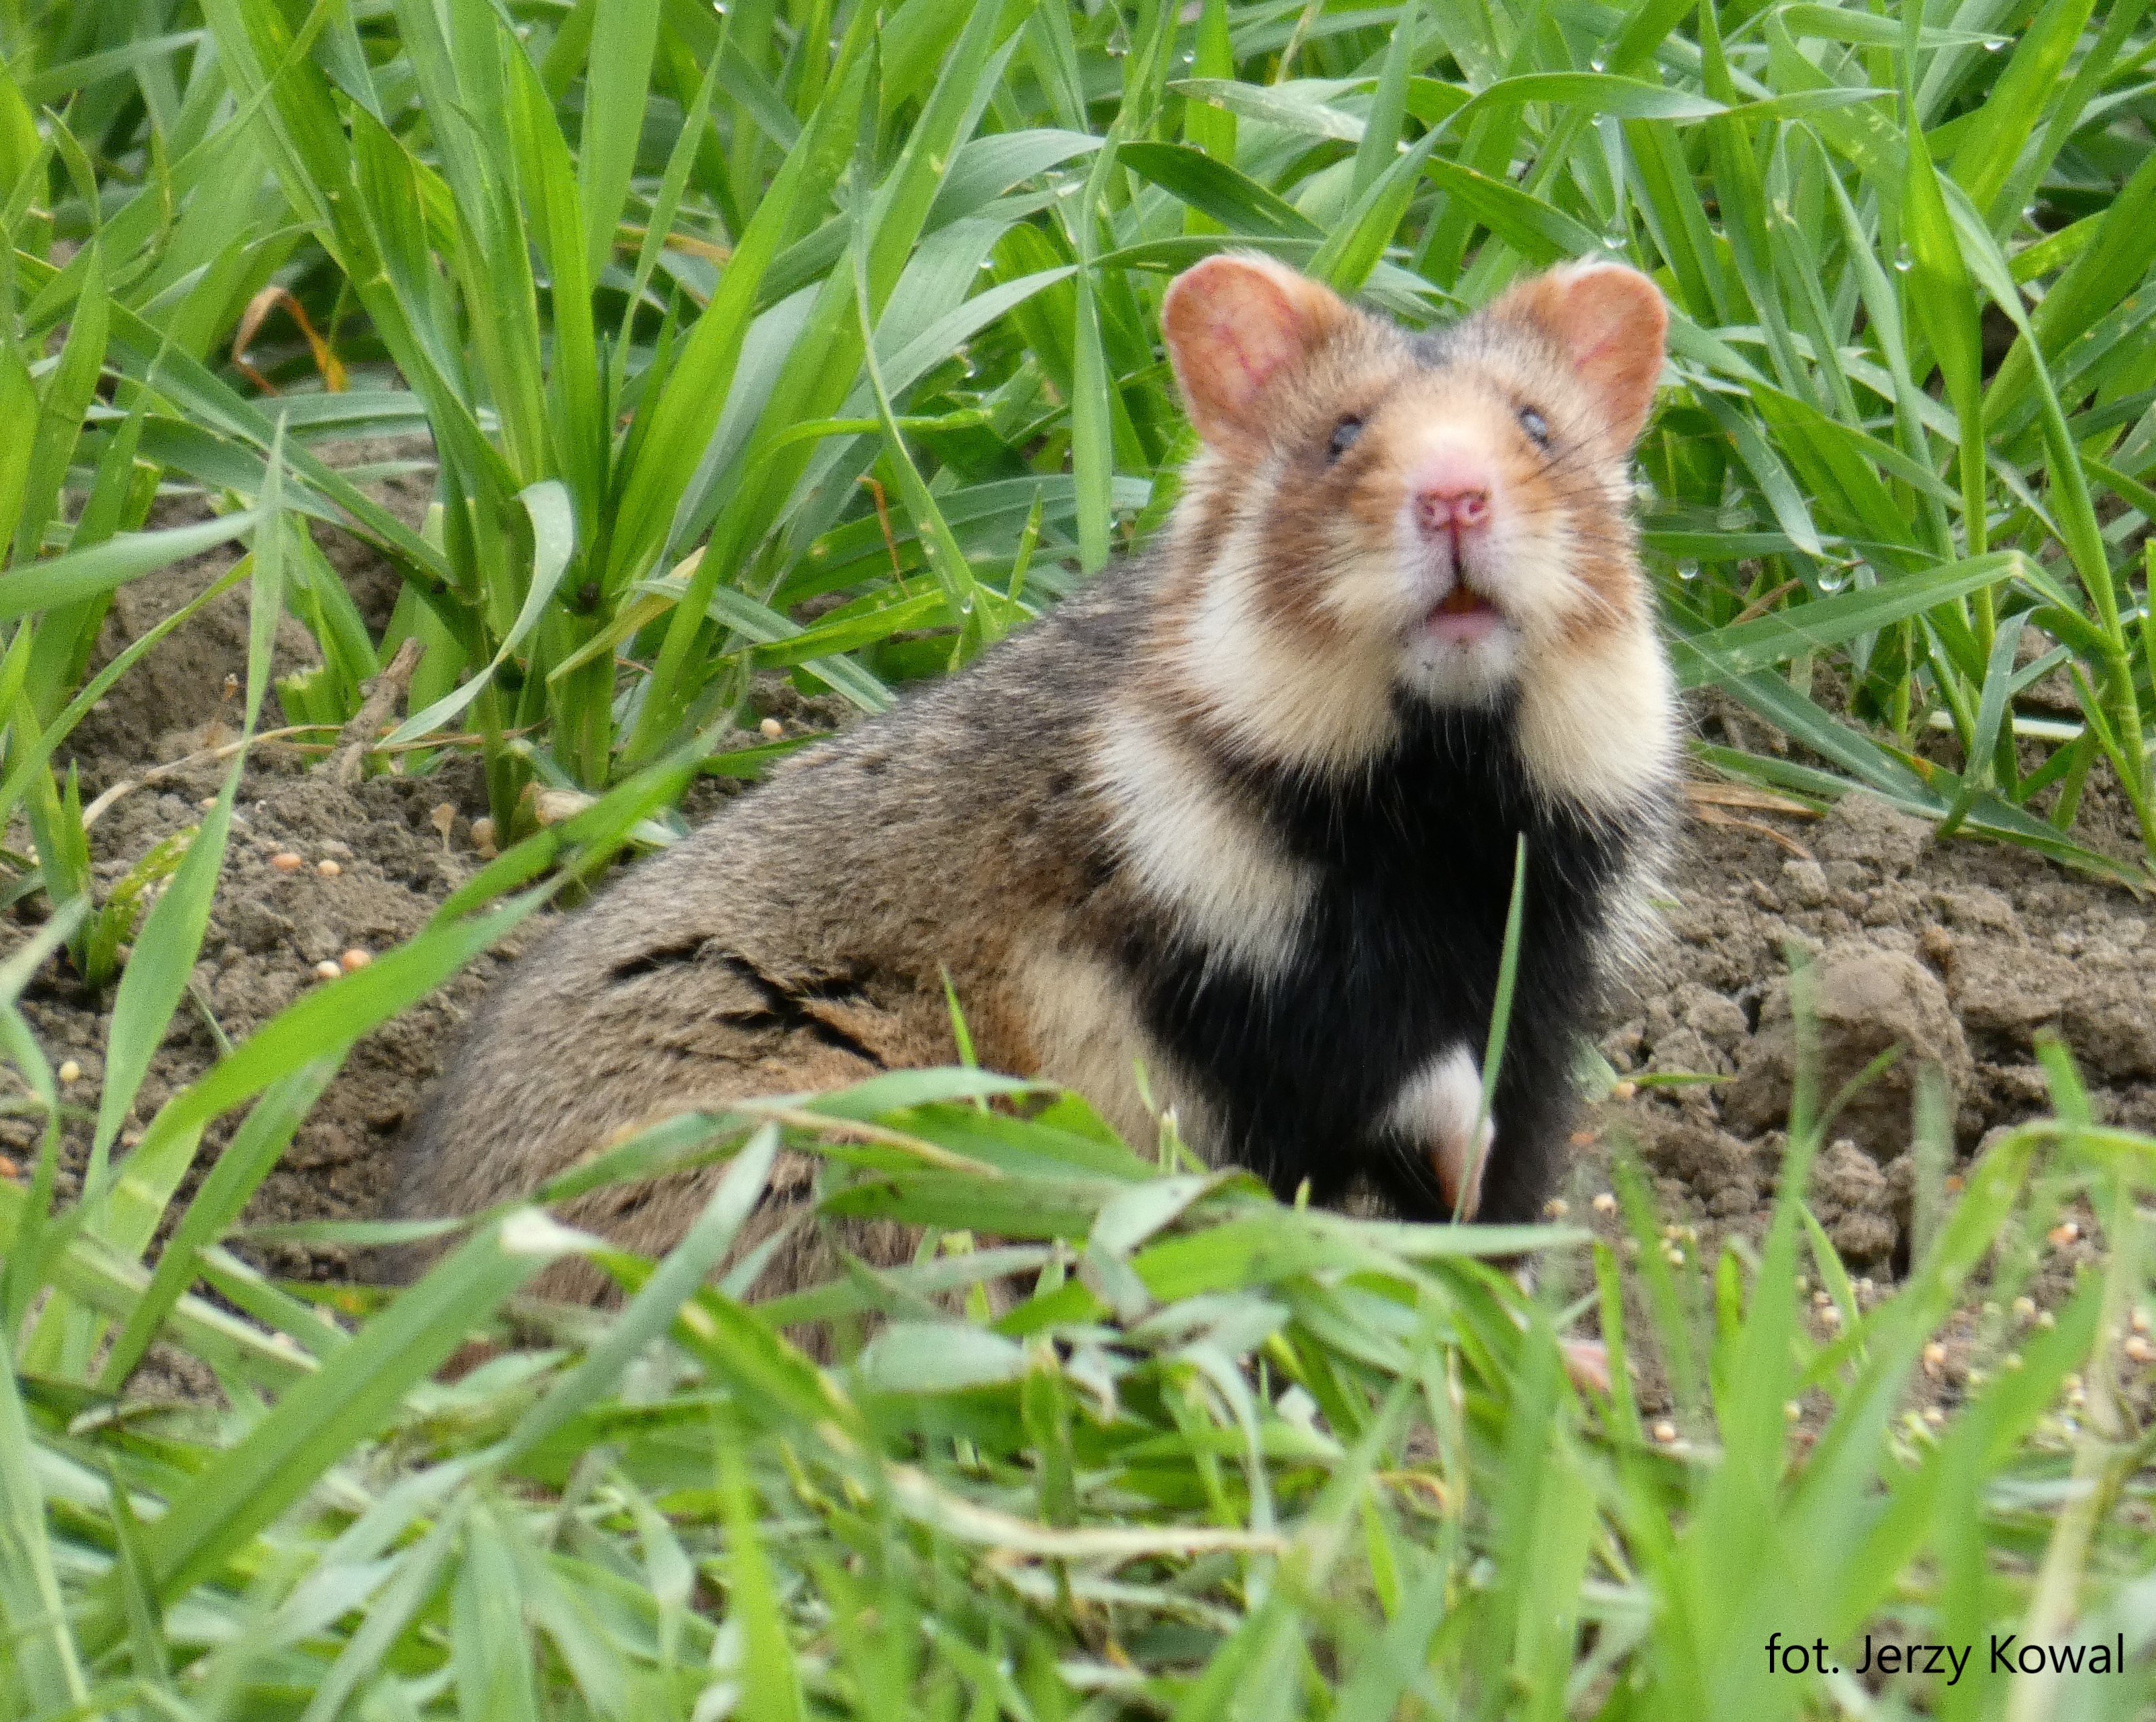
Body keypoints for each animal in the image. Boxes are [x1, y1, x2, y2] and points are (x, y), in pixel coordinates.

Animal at [392, 252, 1681, 1310]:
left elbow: (1501, 1177)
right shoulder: (1247, 985)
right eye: (1341, 434)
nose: (1455, 495)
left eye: (1537, 427)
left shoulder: (1539, 985)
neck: (1441, 795)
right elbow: (1404, 1106)